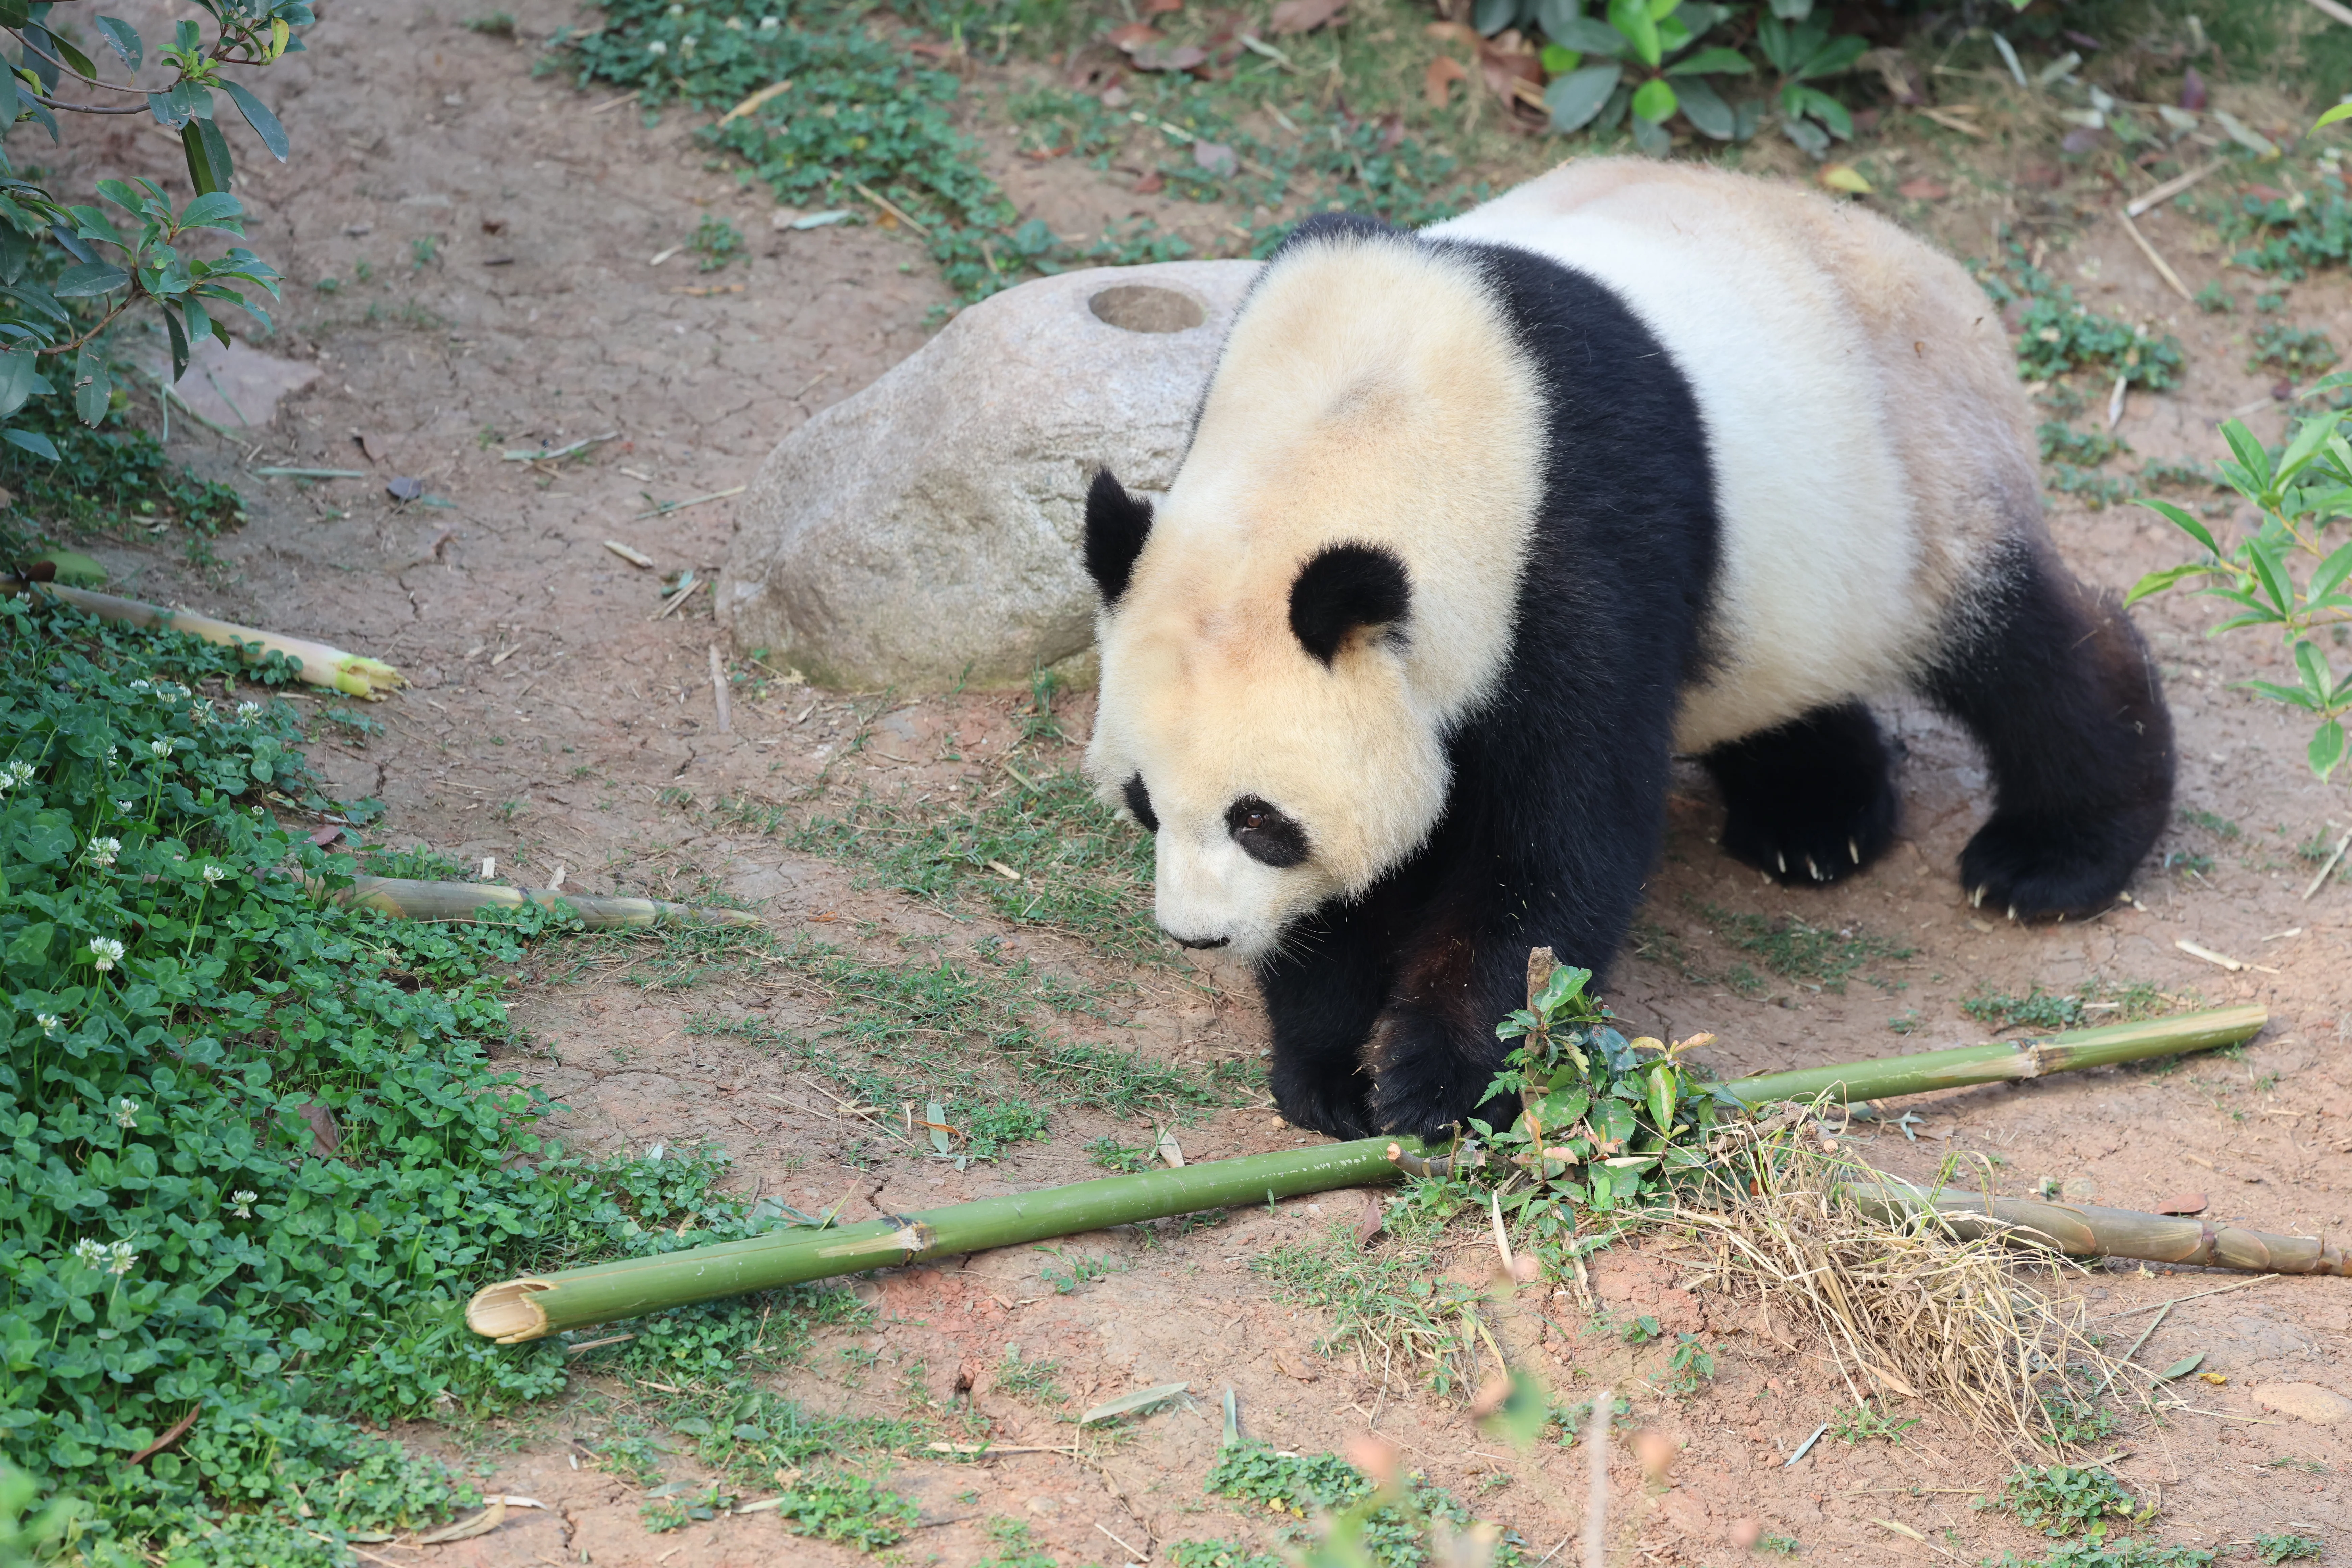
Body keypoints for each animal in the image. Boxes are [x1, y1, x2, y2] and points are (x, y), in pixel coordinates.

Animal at [1078, 158, 2174, 1142]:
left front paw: (1444, 1079)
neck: (1363, 413)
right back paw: (1814, 816)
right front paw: (1331, 1066)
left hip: (1918, 479)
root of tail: (1947, 275)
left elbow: (1557, 840)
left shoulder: (1570, 540)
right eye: (1143, 804)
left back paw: (2049, 856)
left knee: (2025, 650)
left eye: (1260, 820)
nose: (1197, 934)